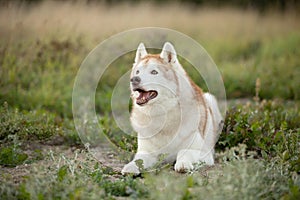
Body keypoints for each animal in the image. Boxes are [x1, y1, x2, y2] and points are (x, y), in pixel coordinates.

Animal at [122, 41, 223, 173]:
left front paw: (183, 164)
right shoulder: (147, 152)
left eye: (154, 72)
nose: (133, 79)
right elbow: (139, 160)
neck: (163, 116)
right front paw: (131, 166)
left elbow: (183, 152)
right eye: (137, 72)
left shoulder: (203, 153)